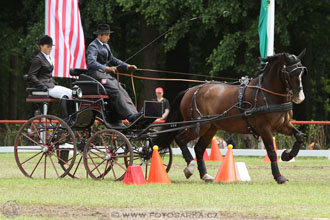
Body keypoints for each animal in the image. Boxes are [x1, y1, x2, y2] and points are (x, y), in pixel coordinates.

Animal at [153, 49, 308, 184]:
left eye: (302, 72)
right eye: (290, 73)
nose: (300, 97)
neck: (268, 93)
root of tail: (191, 90)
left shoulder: (282, 125)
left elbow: (299, 136)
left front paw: (287, 155)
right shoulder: (265, 129)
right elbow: (271, 151)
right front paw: (279, 177)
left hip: (210, 128)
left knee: (198, 148)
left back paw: (205, 175)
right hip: (199, 126)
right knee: (181, 139)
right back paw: (189, 167)